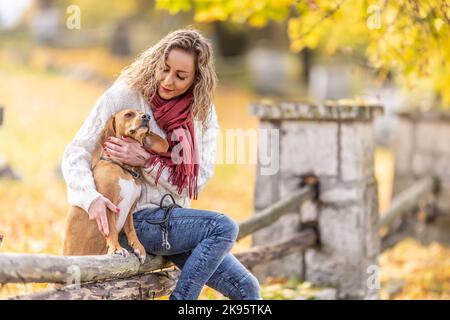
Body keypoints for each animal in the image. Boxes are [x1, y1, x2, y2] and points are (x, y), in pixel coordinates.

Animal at [62, 109, 169, 264]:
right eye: (129, 114)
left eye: (143, 113)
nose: (147, 117)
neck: (125, 169)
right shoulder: (107, 204)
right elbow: (111, 230)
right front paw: (116, 249)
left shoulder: (130, 209)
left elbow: (131, 230)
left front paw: (138, 247)